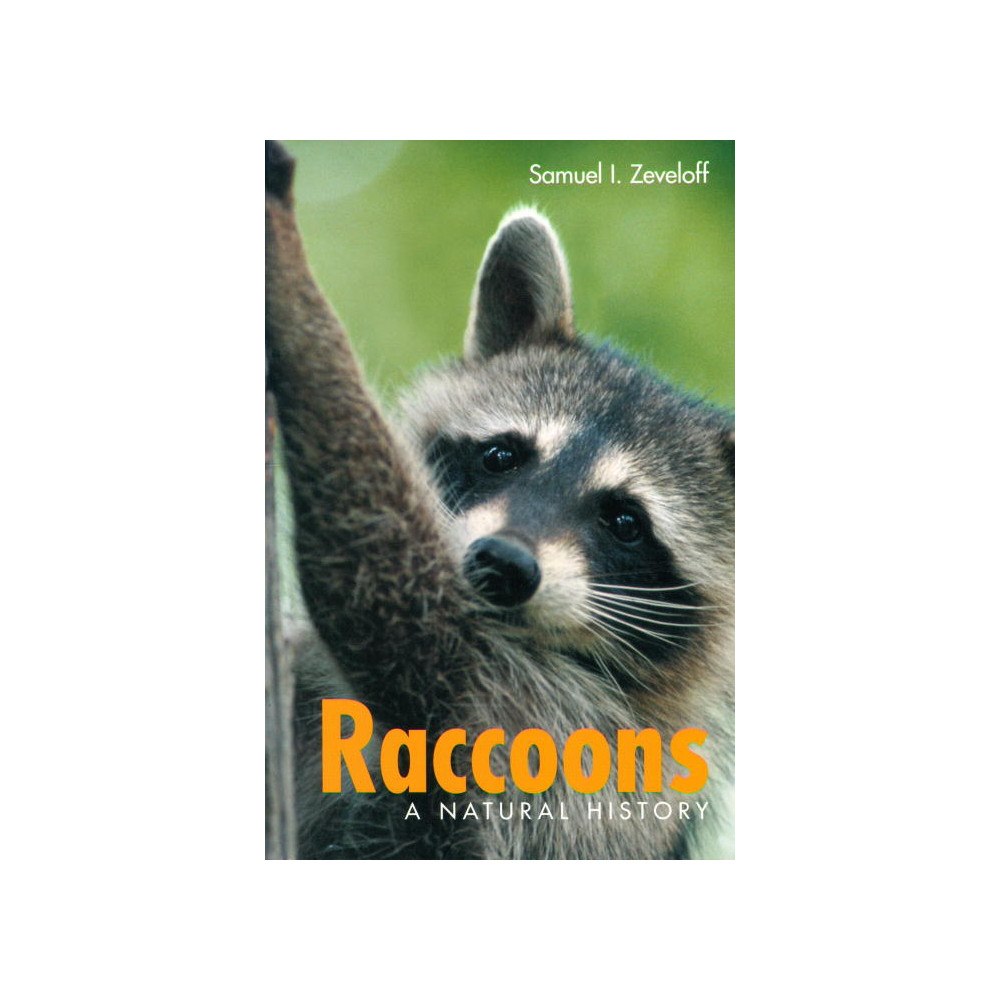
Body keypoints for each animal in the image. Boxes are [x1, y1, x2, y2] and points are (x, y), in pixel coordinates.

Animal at [265, 141, 734, 860]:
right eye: (501, 457)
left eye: (625, 521)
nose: (504, 564)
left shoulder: (543, 726)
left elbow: (386, 595)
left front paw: (293, 283)